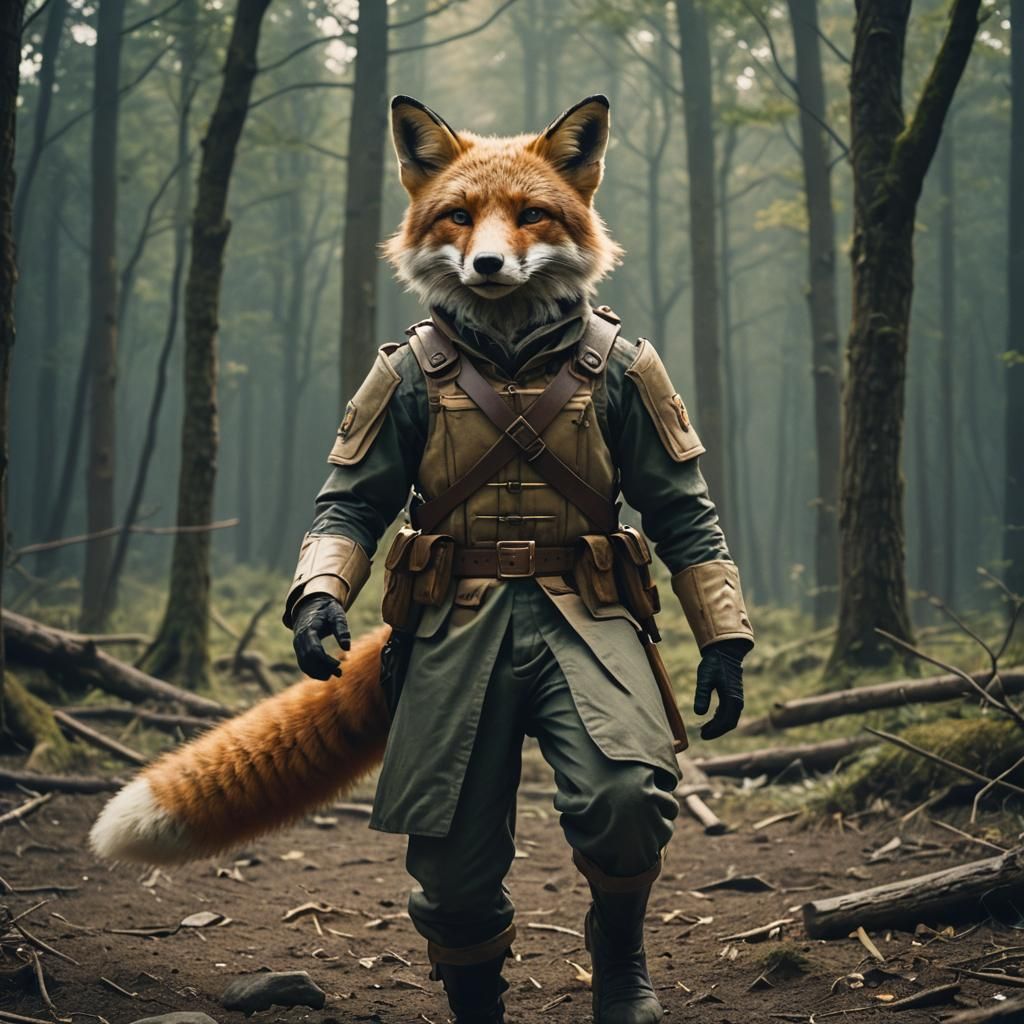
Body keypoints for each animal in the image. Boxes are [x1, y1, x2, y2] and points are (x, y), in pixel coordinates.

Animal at [90, 94, 622, 865]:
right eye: (458, 216)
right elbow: (350, 503)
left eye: (531, 214)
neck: (510, 356)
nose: (489, 263)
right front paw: (317, 618)